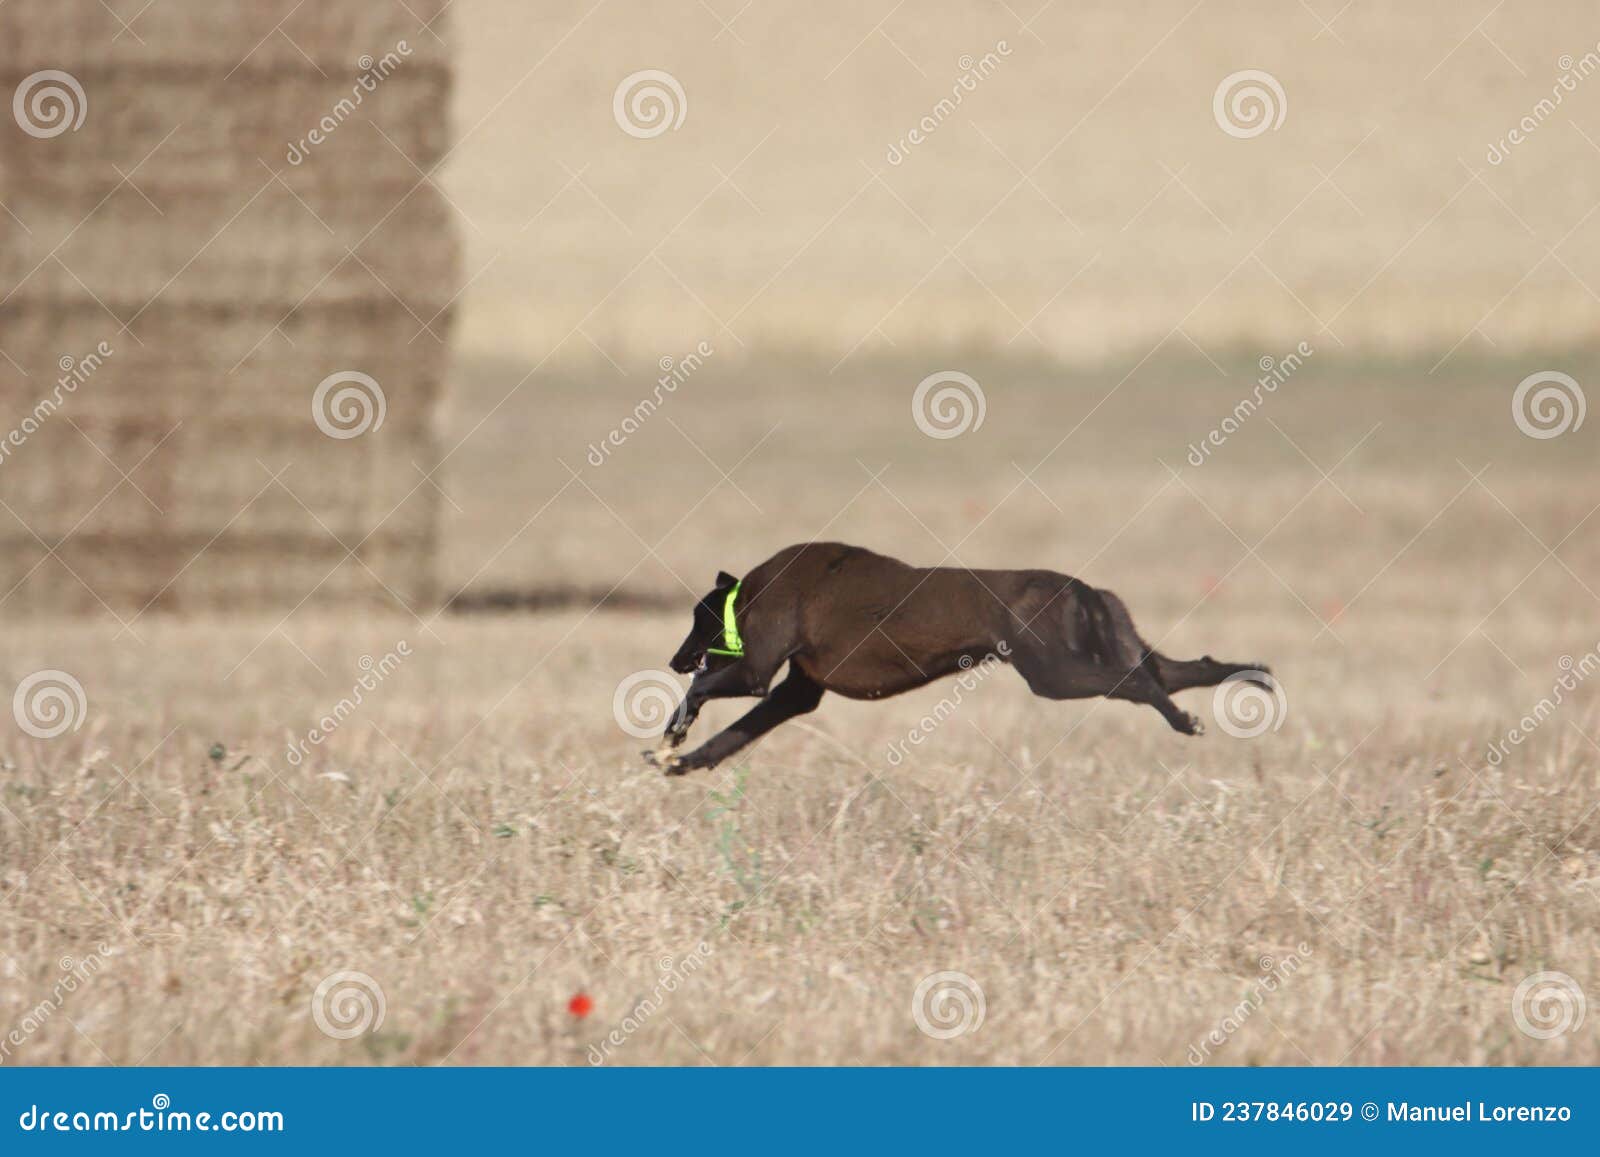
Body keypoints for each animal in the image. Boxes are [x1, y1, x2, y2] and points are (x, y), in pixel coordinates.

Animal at [640, 544, 1273, 777]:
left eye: (697, 621)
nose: (674, 659)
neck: (746, 595)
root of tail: (1083, 588)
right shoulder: (795, 693)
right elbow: (730, 737)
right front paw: (684, 760)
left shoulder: (754, 674)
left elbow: (702, 693)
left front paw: (674, 736)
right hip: (1107, 652)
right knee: (1184, 669)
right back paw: (1252, 678)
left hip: (1056, 673)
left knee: (1139, 685)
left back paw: (1182, 719)